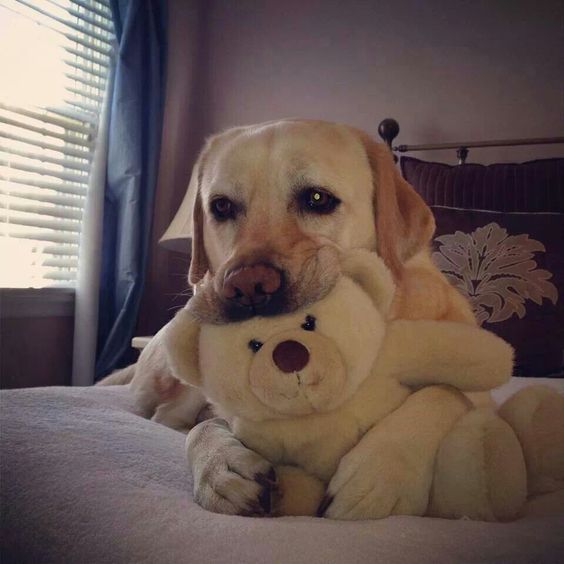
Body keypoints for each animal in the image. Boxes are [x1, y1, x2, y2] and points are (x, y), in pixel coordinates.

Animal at [99, 119, 474, 516]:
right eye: (221, 206)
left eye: (317, 199)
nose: (247, 286)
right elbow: (209, 428)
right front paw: (221, 466)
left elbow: (446, 391)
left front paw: (379, 474)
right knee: (167, 417)